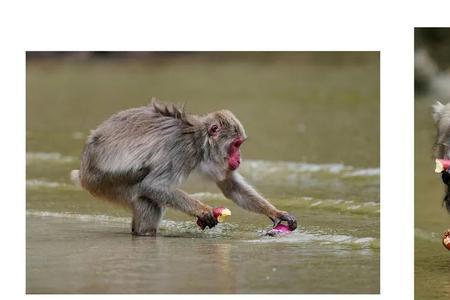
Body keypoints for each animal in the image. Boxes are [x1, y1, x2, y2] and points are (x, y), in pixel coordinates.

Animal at [70, 99, 298, 236]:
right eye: (235, 145)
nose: (239, 158)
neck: (199, 142)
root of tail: (83, 170)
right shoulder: (182, 151)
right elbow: (153, 185)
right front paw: (204, 211)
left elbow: (231, 187)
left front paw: (278, 213)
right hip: (105, 183)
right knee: (145, 192)